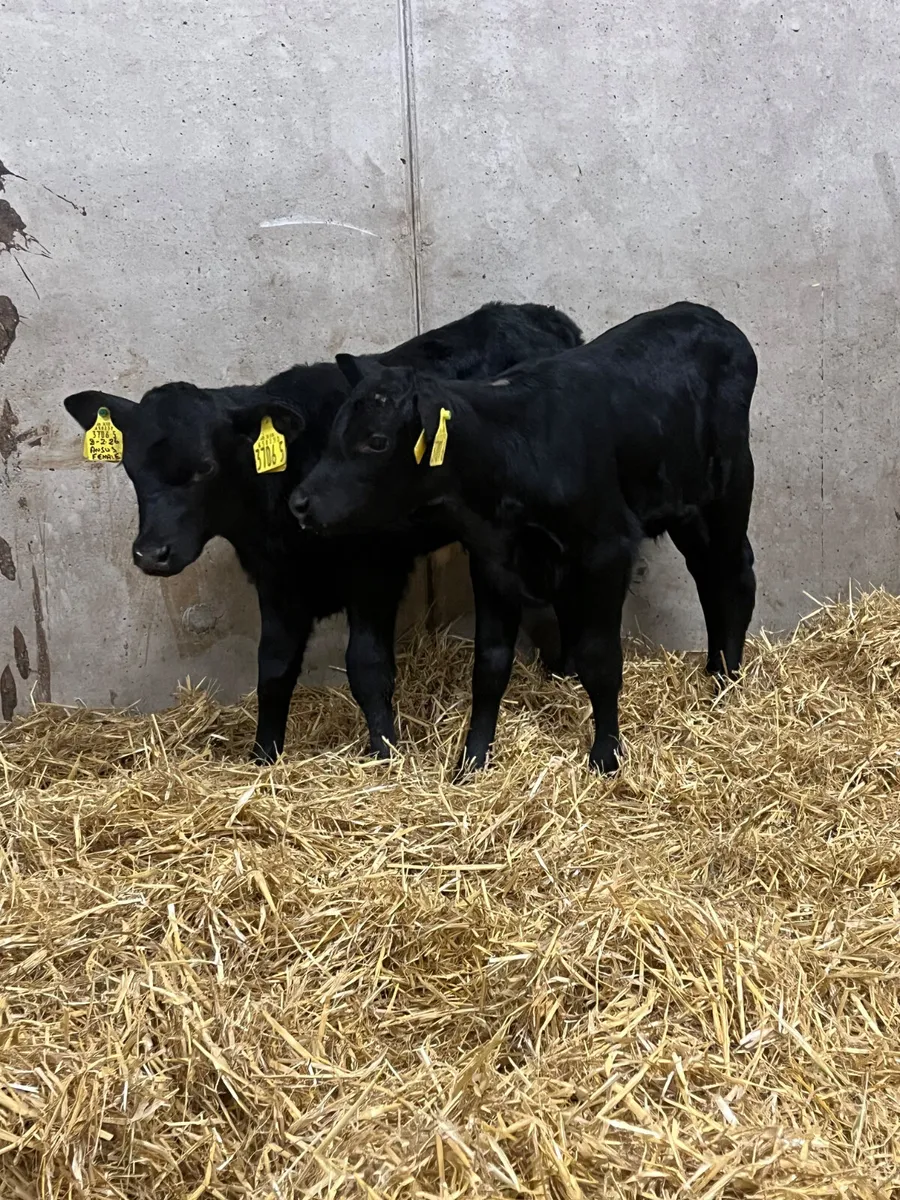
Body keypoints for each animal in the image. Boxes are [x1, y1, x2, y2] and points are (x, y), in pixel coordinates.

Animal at [63, 301, 582, 764]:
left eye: (205, 468)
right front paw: (262, 757)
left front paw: (385, 756)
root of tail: (540, 314)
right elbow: (273, 668)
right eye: (130, 468)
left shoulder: (375, 569)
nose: (152, 553)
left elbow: (366, 666)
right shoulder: (277, 580)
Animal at [289, 302, 758, 774]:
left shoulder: (606, 552)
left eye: (377, 441)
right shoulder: (492, 562)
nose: (300, 502)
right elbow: (490, 664)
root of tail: (706, 315)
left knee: (733, 574)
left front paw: (606, 757)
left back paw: (727, 686)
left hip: (730, 486)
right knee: (707, 574)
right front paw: (472, 760)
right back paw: (713, 671)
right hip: (686, 507)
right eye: (335, 430)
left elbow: (601, 659)